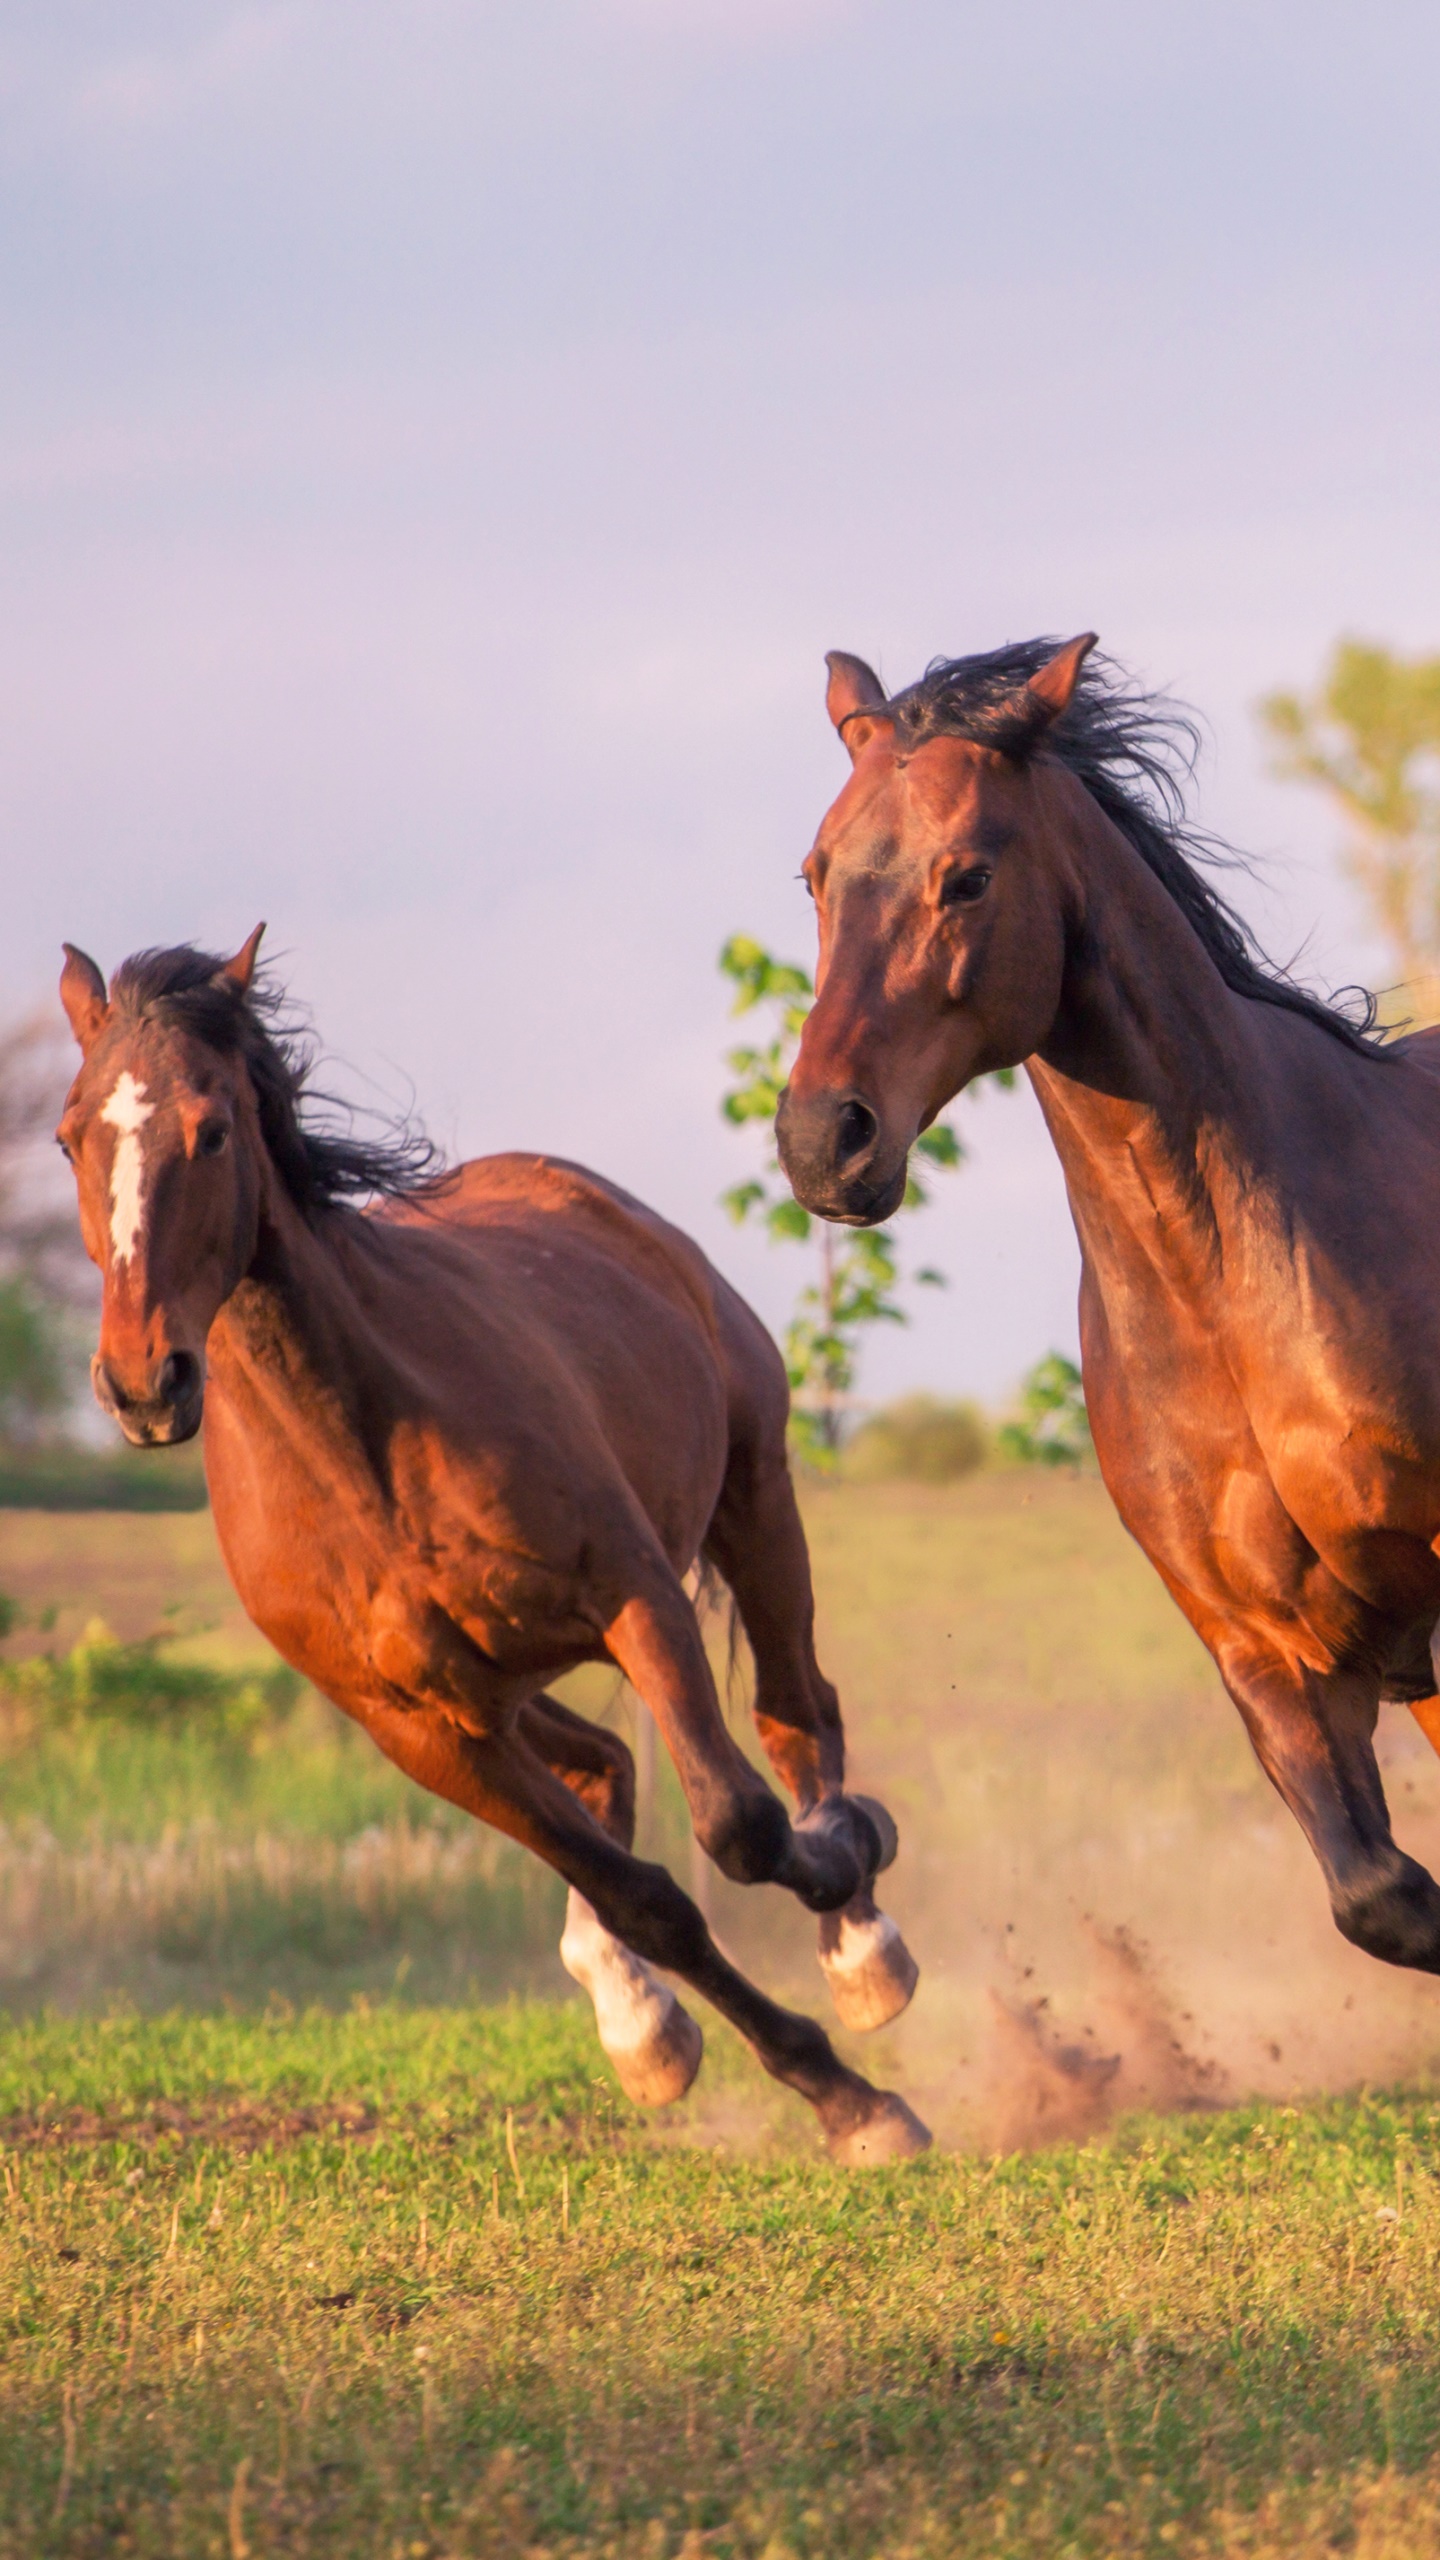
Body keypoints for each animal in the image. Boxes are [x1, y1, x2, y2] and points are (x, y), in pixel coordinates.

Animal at [56, 930, 928, 2164]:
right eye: (70, 1135)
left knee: (797, 1712)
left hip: (754, 1493)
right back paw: (638, 2019)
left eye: (211, 1128)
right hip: (503, 1685)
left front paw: (851, 1933)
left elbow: (738, 1824)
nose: (143, 1383)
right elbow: (647, 1898)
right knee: (604, 1764)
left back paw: (862, 1946)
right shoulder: (422, 1731)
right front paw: (832, 2093)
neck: (364, 1452)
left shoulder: (637, 1598)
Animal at [777, 632, 1440, 1984]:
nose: (822, 1140)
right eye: (815, 874)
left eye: (968, 875)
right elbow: (1378, 1895)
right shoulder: (1265, 1647)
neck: (1237, 1289)